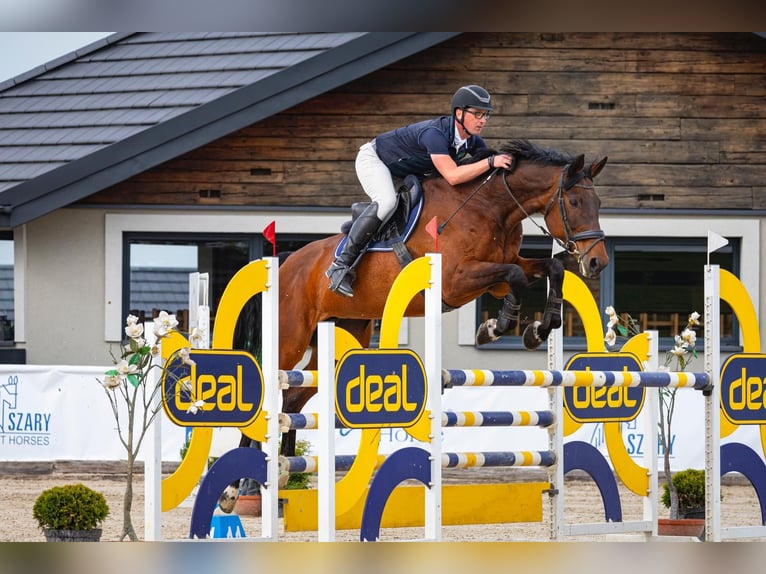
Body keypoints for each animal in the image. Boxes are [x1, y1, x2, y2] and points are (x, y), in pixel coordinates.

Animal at [218, 140, 612, 512]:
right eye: (574, 201)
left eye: (598, 202)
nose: (597, 262)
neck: (491, 208)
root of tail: (286, 263)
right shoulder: (456, 279)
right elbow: (515, 275)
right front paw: (495, 327)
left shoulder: (498, 272)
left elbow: (549, 269)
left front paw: (539, 328)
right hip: (290, 338)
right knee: (271, 393)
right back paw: (234, 490)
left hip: (346, 333)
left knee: (294, 398)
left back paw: (285, 472)